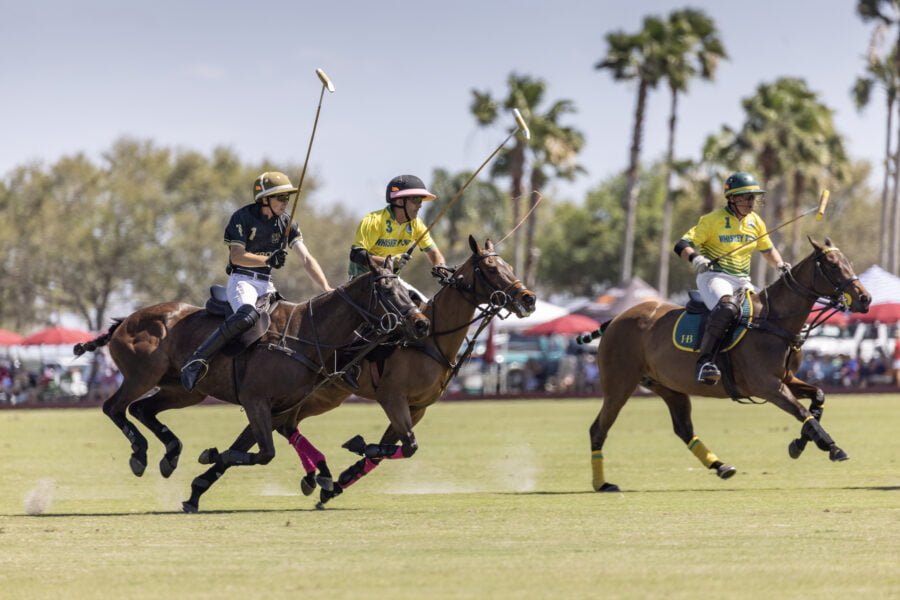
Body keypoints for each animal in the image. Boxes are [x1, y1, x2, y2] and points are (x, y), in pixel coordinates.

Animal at [76, 260, 428, 504]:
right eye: (387, 291)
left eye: (406, 291)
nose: (421, 323)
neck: (306, 335)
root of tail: (124, 321)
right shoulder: (255, 400)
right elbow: (263, 453)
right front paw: (208, 458)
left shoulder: (277, 409)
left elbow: (252, 448)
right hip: (142, 376)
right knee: (114, 407)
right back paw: (140, 454)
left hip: (183, 390)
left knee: (142, 409)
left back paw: (169, 454)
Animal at [180, 237, 536, 508]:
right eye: (492, 269)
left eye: (509, 266)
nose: (529, 299)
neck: (432, 337)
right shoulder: (392, 397)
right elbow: (405, 446)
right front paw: (355, 449)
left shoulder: (417, 407)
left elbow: (393, 450)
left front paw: (342, 479)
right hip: (315, 396)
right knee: (279, 427)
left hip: (312, 397)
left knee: (278, 427)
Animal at [592, 239, 872, 492]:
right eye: (833, 265)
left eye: (848, 261)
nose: (865, 298)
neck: (773, 321)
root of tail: (615, 319)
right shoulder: (767, 386)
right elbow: (802, 411)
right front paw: (832, 446)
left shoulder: (787, 379)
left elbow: (818, 398)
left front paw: (799, 444)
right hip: (619, 384)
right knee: (598, 429)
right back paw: (602, 484)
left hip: (669, 387)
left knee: (683, 429)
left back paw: (721, 466)